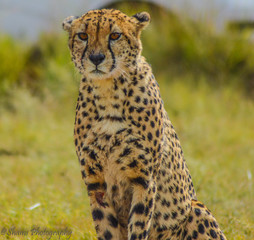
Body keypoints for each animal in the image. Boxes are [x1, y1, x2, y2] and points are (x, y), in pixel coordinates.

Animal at [62, 8, 227, 239]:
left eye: (115, 35)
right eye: (83, 36)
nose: (96, 58)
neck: (107, 91)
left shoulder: (143, 180)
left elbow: (139, 227)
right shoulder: (96, 184)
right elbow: (107, 229)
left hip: (196, 209)